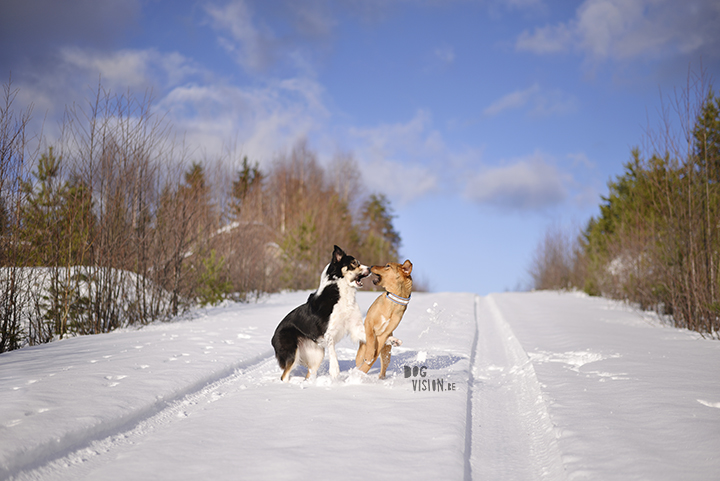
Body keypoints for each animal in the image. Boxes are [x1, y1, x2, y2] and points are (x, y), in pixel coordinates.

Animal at [272, 246, 372, 380]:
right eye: (354, 263)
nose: (370, 268)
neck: (341, 293)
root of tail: (273, 337)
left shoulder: (355, 326)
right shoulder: (329, 332)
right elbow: (333, 353)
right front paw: (334, 371)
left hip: (316, 355)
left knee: (309, 374)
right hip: (292, 353)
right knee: (284, 376)